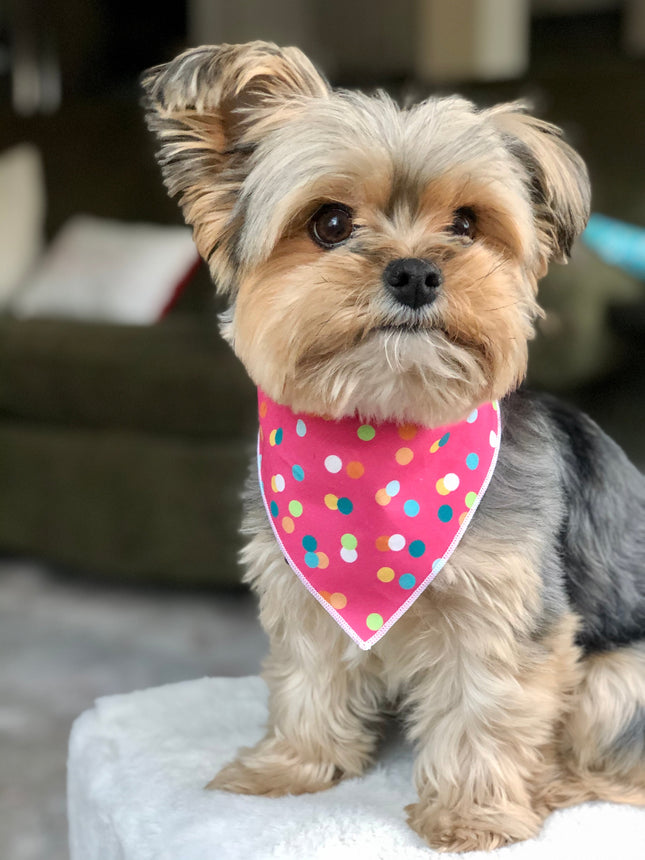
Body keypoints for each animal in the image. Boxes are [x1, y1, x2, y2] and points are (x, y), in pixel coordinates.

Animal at [143, 42, 644, 852]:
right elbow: (307, 678)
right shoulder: (304, 593)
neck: (381, 429)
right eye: (329, 222)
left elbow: (485, 708)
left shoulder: (502, 611)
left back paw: (554, 783)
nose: (414, 271)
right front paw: (289, 767)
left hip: (618, 677)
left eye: (467, 224)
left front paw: (474, 814)